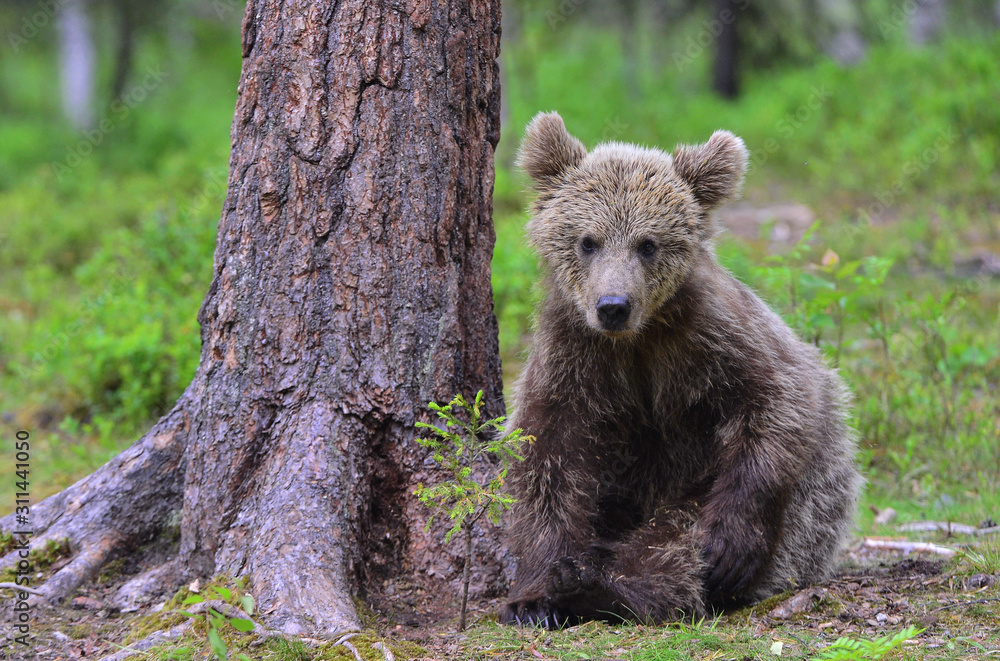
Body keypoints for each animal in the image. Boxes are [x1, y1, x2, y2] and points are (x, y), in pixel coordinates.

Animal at [499, 112, 863, 628]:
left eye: (647, 244)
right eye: (587, 241)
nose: (613, 306)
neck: (637, 341)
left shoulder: (715, 337)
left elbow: (777, 402)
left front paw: (731, 548)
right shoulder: (572, 356)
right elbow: (546, 455)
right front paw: (532, 595)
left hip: (780, 515)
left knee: (677, 540)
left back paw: (605, 587)